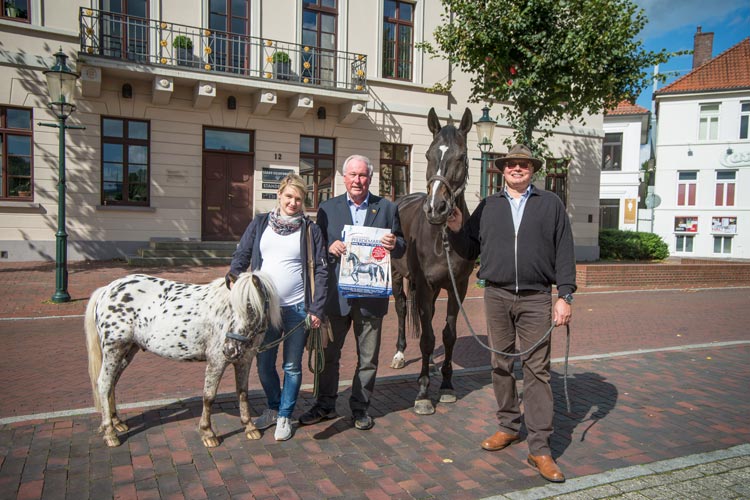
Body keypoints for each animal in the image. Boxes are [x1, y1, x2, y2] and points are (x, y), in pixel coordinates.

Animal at [83, 272, 282, 448]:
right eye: (231, 307)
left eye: (250, 308)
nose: (229, 349)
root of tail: (107, 290)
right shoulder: (216, 361)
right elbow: (209, 397)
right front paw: (208, 434)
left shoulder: (244, 361)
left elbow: (242, 393)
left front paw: (249, 427)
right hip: (113, 349)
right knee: (104, 383)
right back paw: (110, 433)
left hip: (127, 351)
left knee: (112, 383)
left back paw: (117, 422)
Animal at [394, 106, 476, 414]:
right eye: (429, 155)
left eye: (461, 157)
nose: (436, 208)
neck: (443, 237)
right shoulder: (425, 286)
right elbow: (427, 338)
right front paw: (423, 393)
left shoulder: (457, 286)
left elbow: (447, 334)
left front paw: (447, 386)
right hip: (397, 277)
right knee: (402, 309)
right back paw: (400, 354)